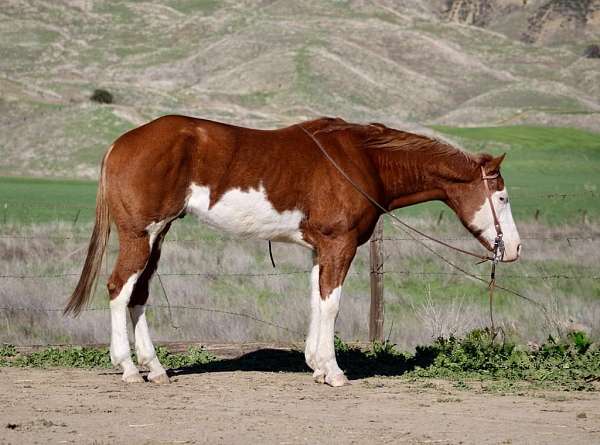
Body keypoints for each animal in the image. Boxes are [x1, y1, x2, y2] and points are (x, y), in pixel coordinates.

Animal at [64, 114, 520, 386]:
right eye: (501, 198)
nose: (513, 248)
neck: (363, 161)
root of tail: (121, 143)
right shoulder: (339, 245)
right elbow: (332, 304)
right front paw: (333, 372)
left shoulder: (320, 249)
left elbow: (317, 302)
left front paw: (316, 365)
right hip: (140, 235)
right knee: (118, 289)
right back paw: (127, 368)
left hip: (157, 236)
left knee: (138, 295)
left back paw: (155, 368)